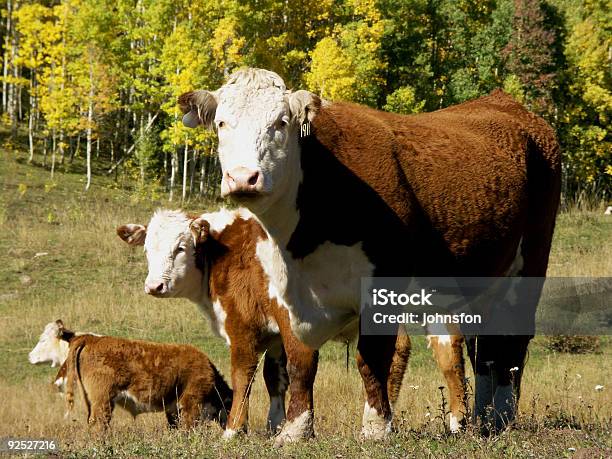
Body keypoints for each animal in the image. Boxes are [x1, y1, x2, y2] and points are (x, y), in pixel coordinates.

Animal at [53, 324, 234, 432]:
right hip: (103, 399)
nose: (239, 431)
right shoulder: (191, 404)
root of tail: (91, 338)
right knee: (99, 423)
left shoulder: (173, 409)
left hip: (91, 400)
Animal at [116, 209, 412, 446]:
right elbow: (274, 377)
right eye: (147, 250)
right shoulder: (274, 335)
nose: (154, 286)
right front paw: (274, 426)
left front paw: (234, 431)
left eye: (180, 248)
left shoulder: (242, 328)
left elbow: (242, 376)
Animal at [177, 69, 560, 438]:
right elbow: (300, 361)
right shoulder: (285, 291)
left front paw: (375, 426)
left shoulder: (383, 284)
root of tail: (504, 101)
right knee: (482, 351)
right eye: (222, 123)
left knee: (509, 341)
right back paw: (479, 419)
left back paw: (502, 415)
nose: (244, 178)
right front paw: (295, 429)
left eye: (281, 123)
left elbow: (372, 359)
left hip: (530, 264)